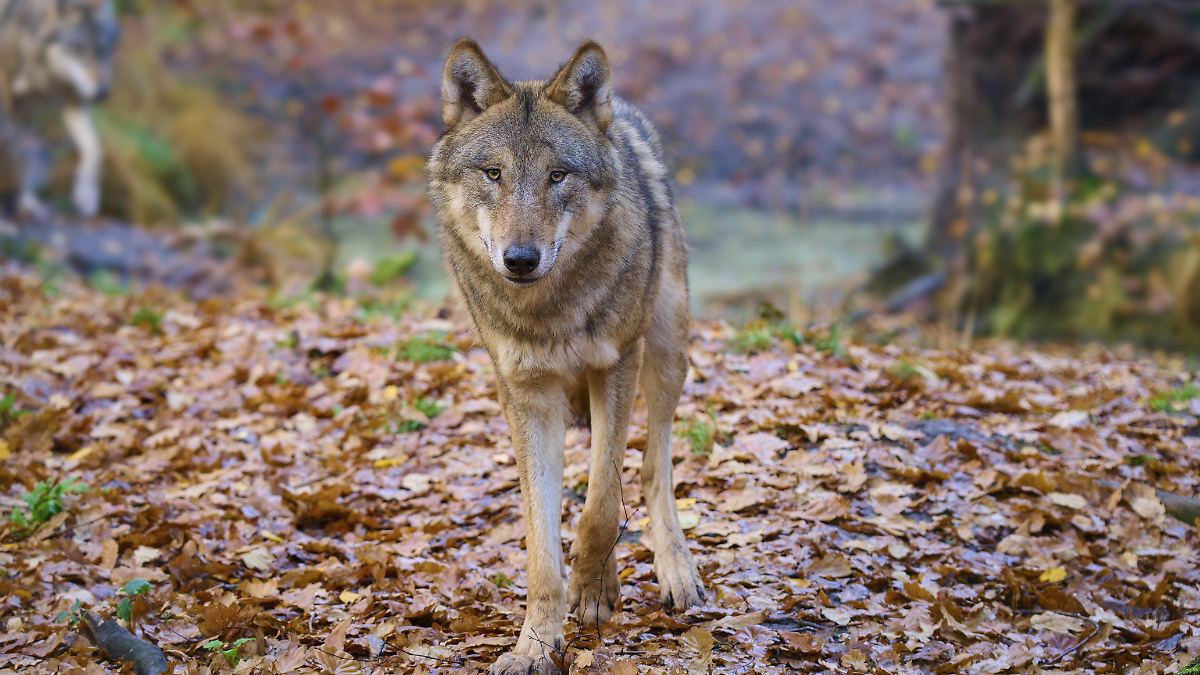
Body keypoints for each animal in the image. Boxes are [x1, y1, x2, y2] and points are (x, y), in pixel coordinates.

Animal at [0, 0, 119, 218]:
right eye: (78, 50)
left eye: (102, 50)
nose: (102, 93)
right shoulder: (8, 99)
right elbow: (15, 152)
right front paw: (22, 201)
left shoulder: (73, 99)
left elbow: (94, 149)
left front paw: (86, 196)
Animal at [428, 39, 705, 674]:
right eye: (494, 173)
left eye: (557, 175)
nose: (520, 259)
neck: (549, 311)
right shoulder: (526, 394)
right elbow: (540, 539)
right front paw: (534, 642)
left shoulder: (616, 363)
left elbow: (600, 505)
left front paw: (591, 590)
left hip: (666, 348)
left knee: (653, 465)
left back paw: (675, 572)